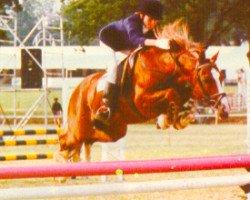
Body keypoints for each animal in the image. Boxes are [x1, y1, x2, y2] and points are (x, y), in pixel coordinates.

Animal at [54, 21, 230, 177]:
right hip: (80, 126)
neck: (165, 69)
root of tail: (78, 89)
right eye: (207, 79)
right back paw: (61, 169)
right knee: (65, 139)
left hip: (114, 131)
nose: (225, 110)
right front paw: (170, 117)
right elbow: (171, 93)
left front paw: (177, 117)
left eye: (221, 77)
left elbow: (179, 100)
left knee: (87, 140)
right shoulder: (142, 102)